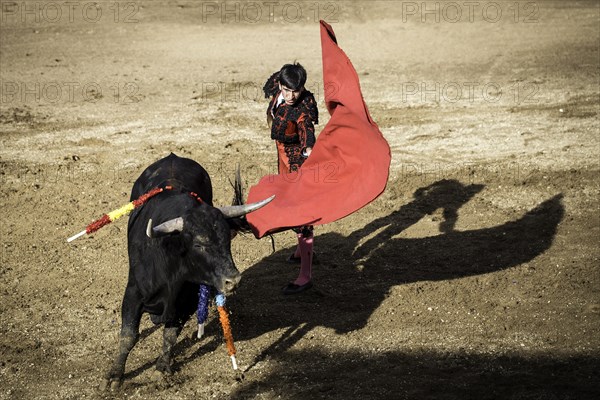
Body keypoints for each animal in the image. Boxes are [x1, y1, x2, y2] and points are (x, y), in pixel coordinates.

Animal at [103, 152, 272, 388]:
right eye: (199, 245)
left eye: (227, 239)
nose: (233, 281)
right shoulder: (133, 294)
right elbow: (129, 335)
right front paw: (114, 376)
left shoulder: (186, 303)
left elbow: (170, 334)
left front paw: (162, 368)